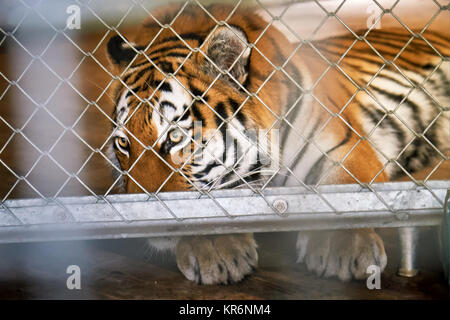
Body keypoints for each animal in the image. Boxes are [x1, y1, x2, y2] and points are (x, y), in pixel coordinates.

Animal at [106, 3, 450, 284]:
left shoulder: (344, 145)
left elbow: (343, 191)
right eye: (123, 143)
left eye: (175, 136)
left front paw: (342, 248)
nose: (140, 213)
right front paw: (215, 250)